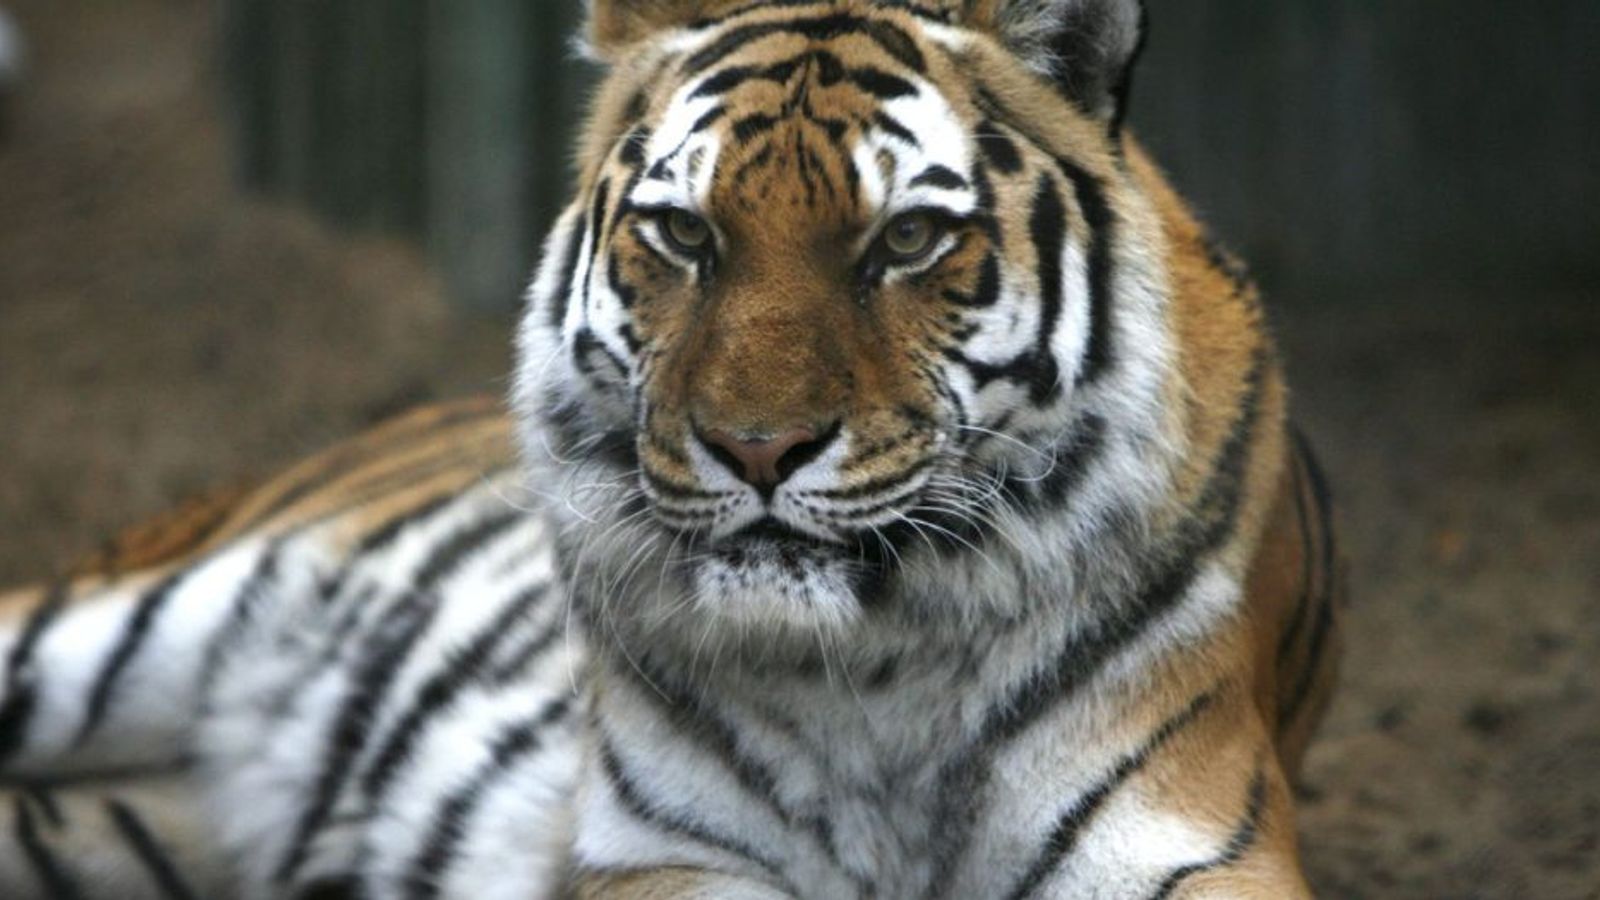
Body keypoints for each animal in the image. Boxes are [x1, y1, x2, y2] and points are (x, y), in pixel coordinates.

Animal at [0, 1, 1342, 898]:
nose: (758, 449)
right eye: (685, 235)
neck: (879, 674)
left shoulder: (1181, 837)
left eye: (907, 240)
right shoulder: (667, 856)